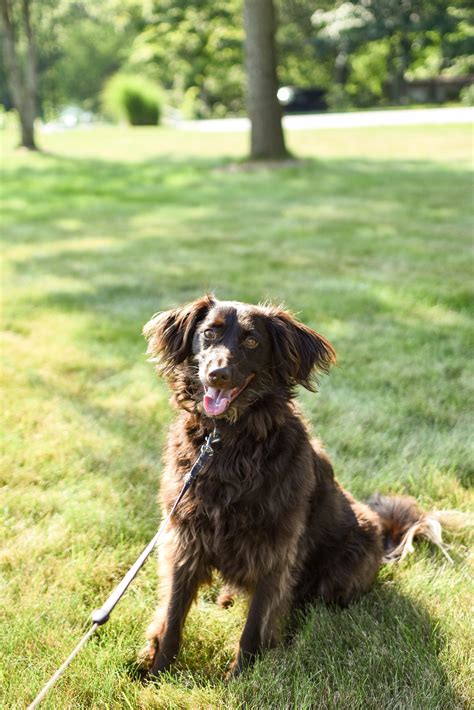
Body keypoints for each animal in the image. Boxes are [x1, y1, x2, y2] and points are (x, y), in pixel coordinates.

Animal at [141, 294, 430, 680]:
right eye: (209, 333)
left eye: (252, 341)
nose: (218, 374)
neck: (228, 442)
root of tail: (384, 538)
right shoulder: (185, 541)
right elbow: (173, 617)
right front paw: (156, 673)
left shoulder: (274, 552)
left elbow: (254, 626)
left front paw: (240, 678)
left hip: (340, 572)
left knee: (306, 605)